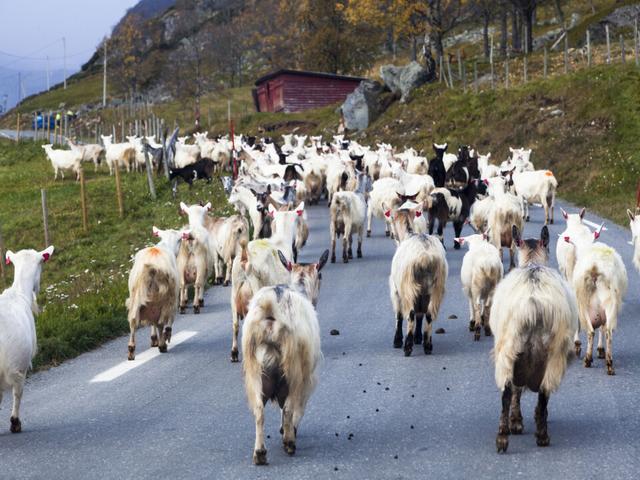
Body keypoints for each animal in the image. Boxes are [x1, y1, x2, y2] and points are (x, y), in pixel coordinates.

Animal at [491, 225, 578, 453]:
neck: (532, 263)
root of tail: (534, 302)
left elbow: (515, 392)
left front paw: (516, 422)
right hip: (552, 354)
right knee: (543, 394)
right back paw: (540, 434)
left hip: (510, 349)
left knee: (508, 392)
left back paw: (505, 437)